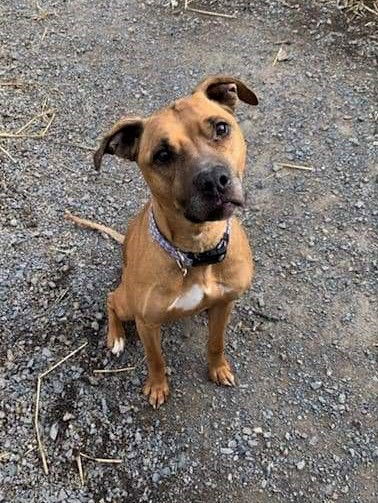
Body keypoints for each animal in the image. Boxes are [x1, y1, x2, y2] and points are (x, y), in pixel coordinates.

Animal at [66, 75, 258, 408]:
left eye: (221, 128)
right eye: (163, 155)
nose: (213, 180)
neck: (196, 250)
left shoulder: (225, 303)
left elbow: (216, 342)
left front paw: (218, 368)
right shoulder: (147, 323)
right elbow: (155, 359)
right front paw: (157, 387)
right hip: (127, 302)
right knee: (111, 299)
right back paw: (115, 336)